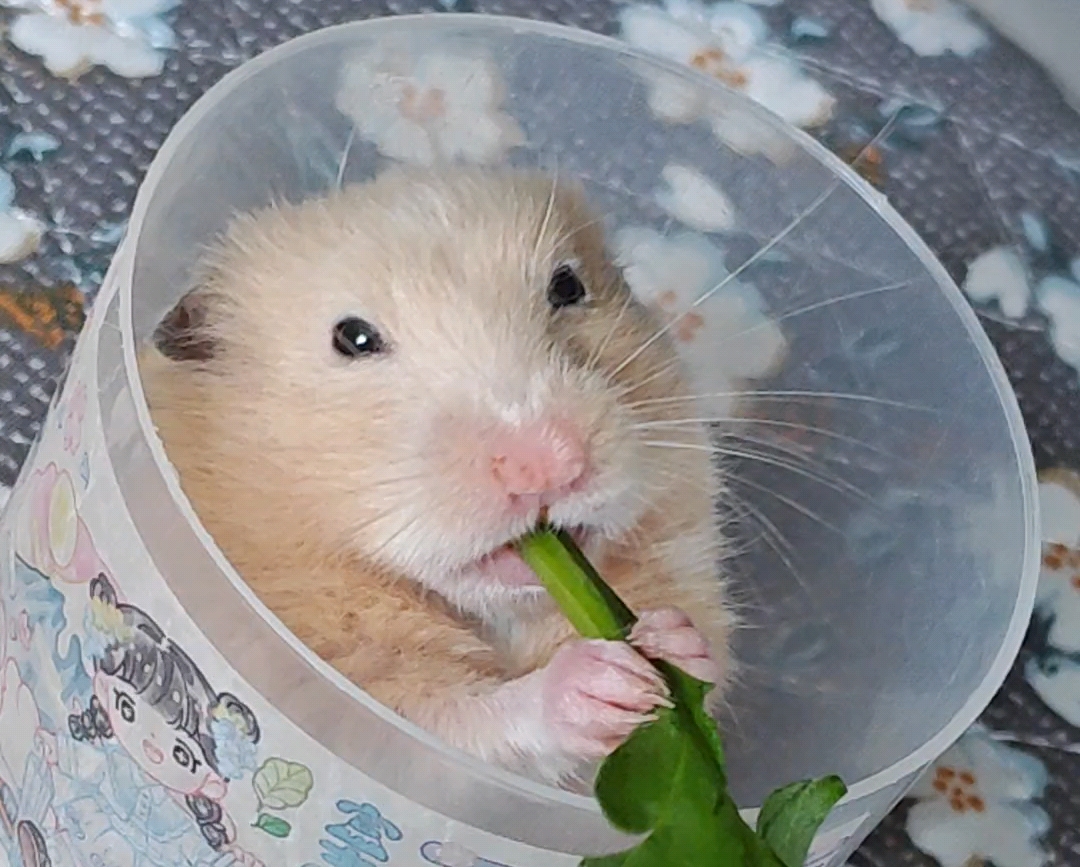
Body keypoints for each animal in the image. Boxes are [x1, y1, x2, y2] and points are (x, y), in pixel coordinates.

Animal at [139, 166, 735, 787]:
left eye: (568, 286)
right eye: (353, 338)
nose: (551, 463)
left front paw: (670, 643)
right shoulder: (372, 710)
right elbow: (469, 719)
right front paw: (611, 682)